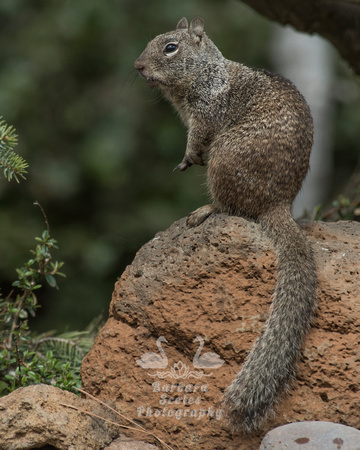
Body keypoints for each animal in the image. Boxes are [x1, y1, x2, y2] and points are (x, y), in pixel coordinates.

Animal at [135, 16, 318, 432]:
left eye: (170, 47)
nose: (137, 66)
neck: (207, 73)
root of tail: (279, 203)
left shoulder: (205, 115)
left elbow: (196, 139)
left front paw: (187, 159)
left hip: (223, 158)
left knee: (229, 207)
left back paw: (204, 210)